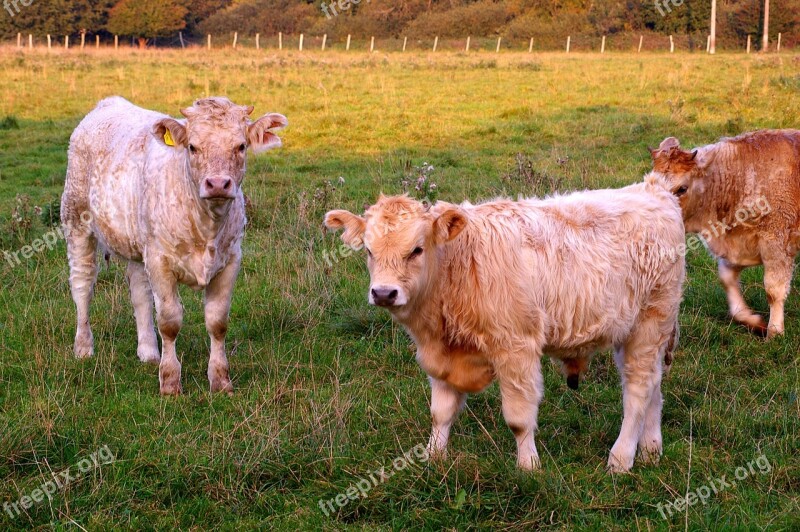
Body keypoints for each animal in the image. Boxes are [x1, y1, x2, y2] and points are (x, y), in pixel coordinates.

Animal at [61, 95, 288, 394]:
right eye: (192, 147)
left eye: (240, 146)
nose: (218, 183)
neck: (206, 227)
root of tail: (109, 102)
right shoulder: (160, 261)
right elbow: (169, 321)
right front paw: (170, 382)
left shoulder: (231, 260)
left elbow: (217, 321)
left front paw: (220, 381)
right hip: (76, 219)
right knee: (83, 285)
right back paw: (84, 347)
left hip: (139, 243)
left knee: (139, 292)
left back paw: (148, 352)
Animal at [326, 181, 688, 472]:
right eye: (369, 251)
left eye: (416, 249)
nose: (384, 293)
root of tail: (653, 190)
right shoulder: (441, 355)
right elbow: (440, 412)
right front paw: (433, 457)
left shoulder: (517, 348)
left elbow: (518, 418)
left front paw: (528, 465)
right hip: (636, 332)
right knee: (651, 384)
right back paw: (650, 449)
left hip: (651, 321)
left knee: (638, 390)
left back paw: (621, 458)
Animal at [648, 130, 796, 336]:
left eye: (682, 188)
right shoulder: (737, 247)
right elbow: (726, 279)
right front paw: (751, 320)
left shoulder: (776, 243)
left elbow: (773, 290)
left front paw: (774, 331)